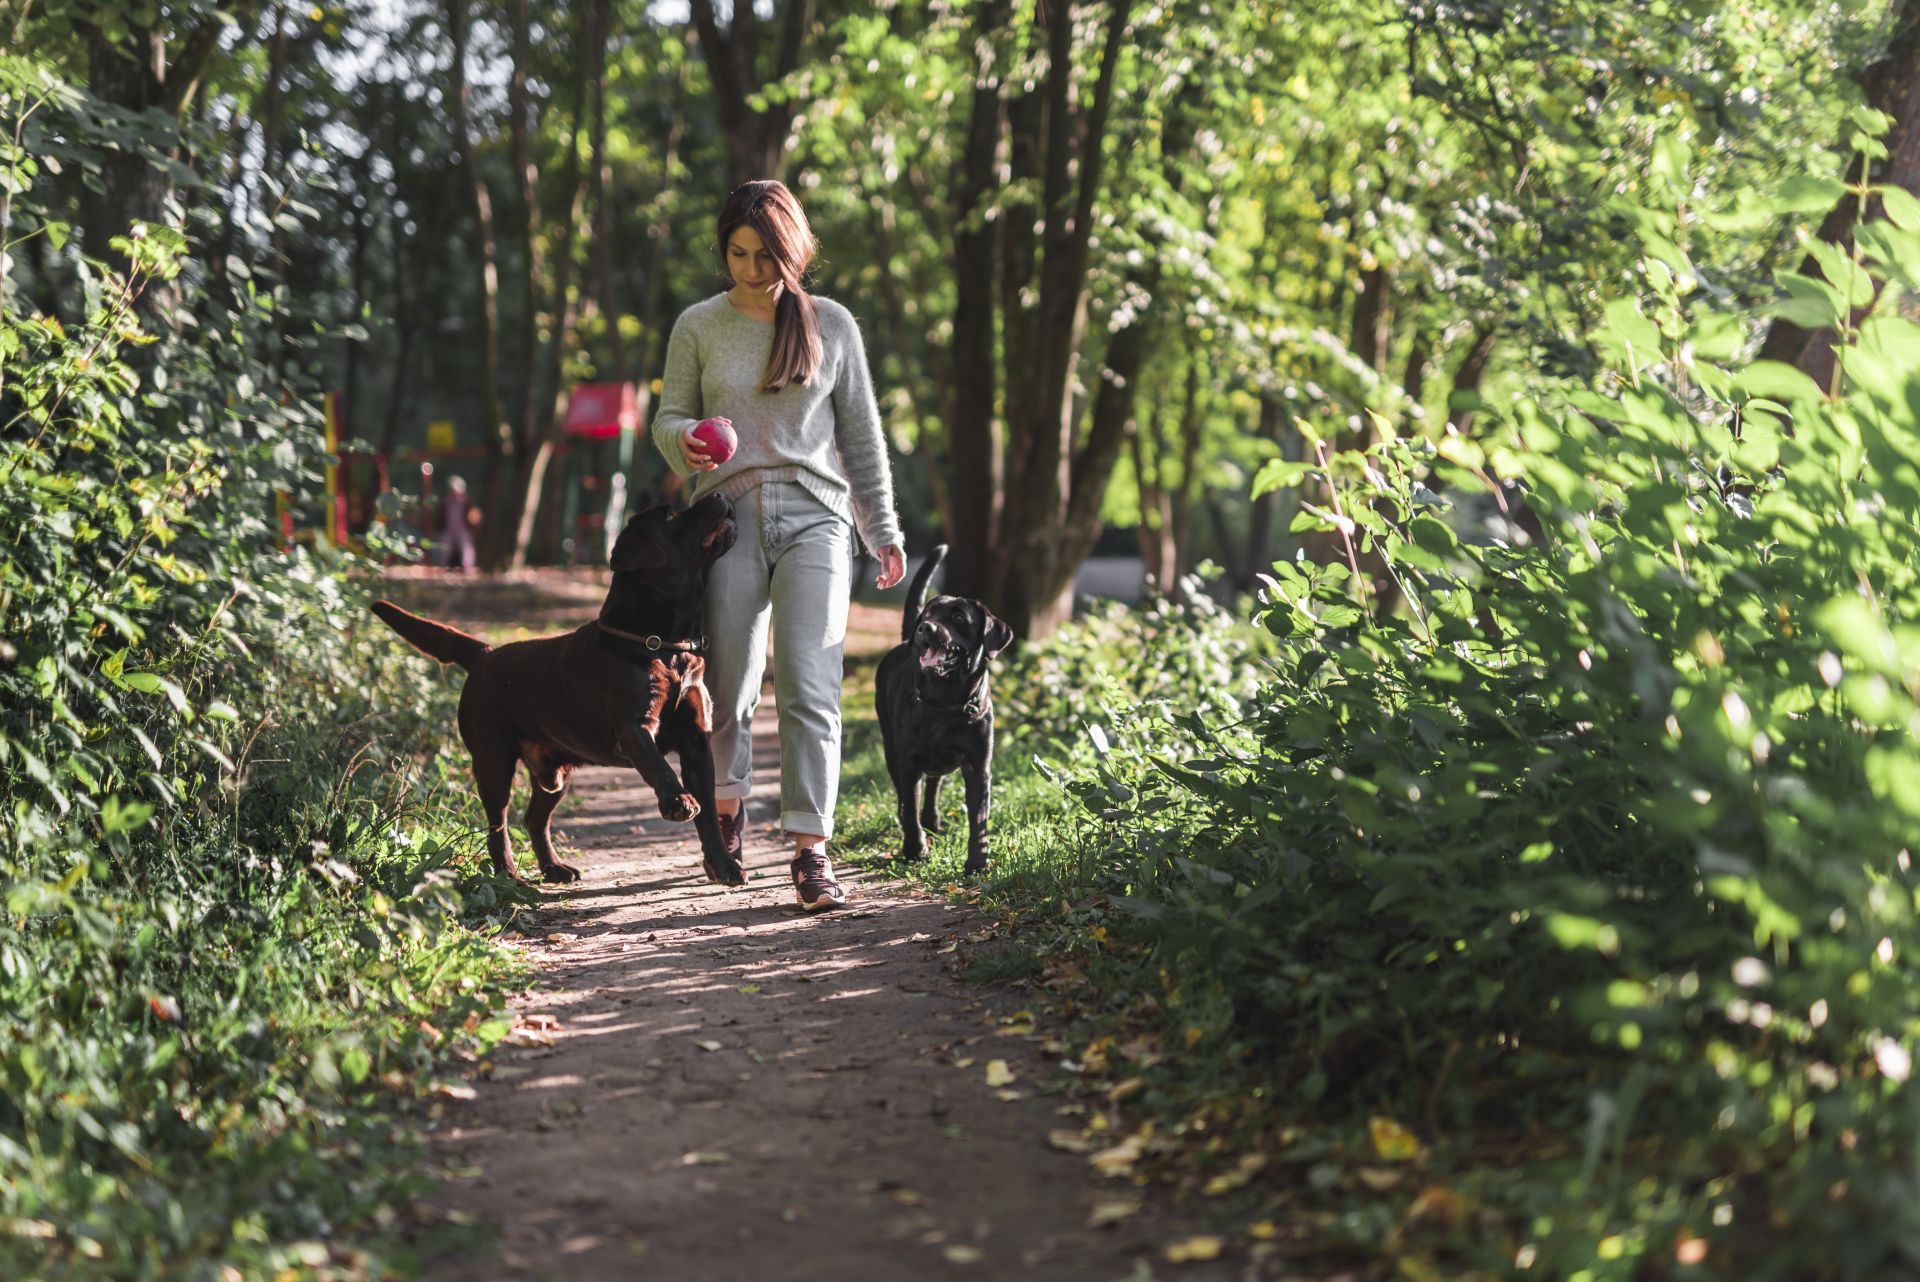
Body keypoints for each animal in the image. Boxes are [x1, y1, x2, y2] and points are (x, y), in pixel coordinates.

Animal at [875, 541, 1013, 871]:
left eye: (959, 618)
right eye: (929, 613)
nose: (924, 628)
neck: (945, 700)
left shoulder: (978, 766)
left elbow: (979, 819)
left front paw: (977, 862)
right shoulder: (909, 762)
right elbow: (909, 803)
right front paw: (914, 849)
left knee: (935, 783)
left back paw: (933, 820)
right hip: (890, 747)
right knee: (905, 796)